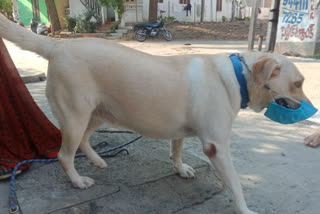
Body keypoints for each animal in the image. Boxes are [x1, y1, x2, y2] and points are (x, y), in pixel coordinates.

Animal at [0, 13, 310, 214]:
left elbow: (176, 151)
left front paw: (181, 169)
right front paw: (245, 209)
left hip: (96, 114)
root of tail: (58, 44)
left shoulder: (182, 133)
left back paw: (98, 161)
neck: (238, 75)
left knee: (85, 141)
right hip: (75, 116)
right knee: (64, 154)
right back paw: (78, 181)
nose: (309, 110)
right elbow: (235, 183)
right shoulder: (217, 147)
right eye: (298, 83)